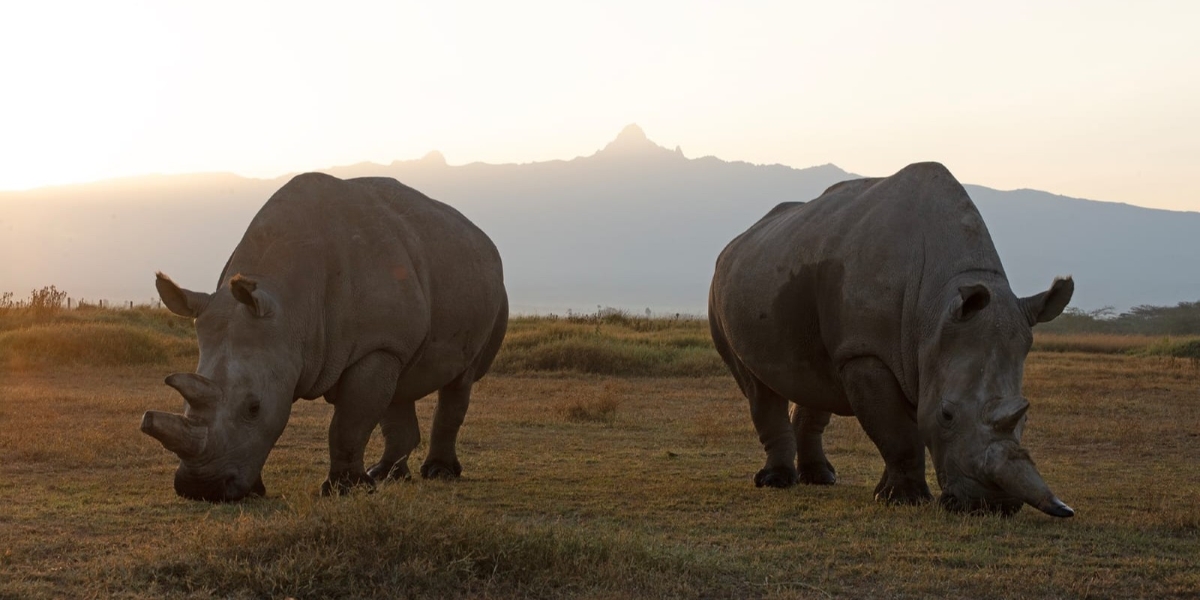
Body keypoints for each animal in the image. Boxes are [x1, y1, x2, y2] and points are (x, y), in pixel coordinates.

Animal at [142, 172, 508, 501]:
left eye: (253, 408)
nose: (201, 489)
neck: (291, 308)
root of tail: (483, 238)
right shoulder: (319, 344)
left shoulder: (374, 345)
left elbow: (349, 422)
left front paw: (345, 489)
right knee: (400, 385)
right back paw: (387, 475)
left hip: (489, 290)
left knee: (459, 382)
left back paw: (438, 473)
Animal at [708, 162, 1075, 517]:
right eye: (947, 415)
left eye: (1026, 417)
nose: (992, 506)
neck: (937, 305)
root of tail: (735, 243)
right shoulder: (866, 352)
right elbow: (898, 432)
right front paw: (905, 500)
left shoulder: (920, 351)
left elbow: (904, 425)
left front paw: (886, 494)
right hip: (721, 291)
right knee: (758, 387)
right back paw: (776, 482)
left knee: (813, 380)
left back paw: (821, 478)